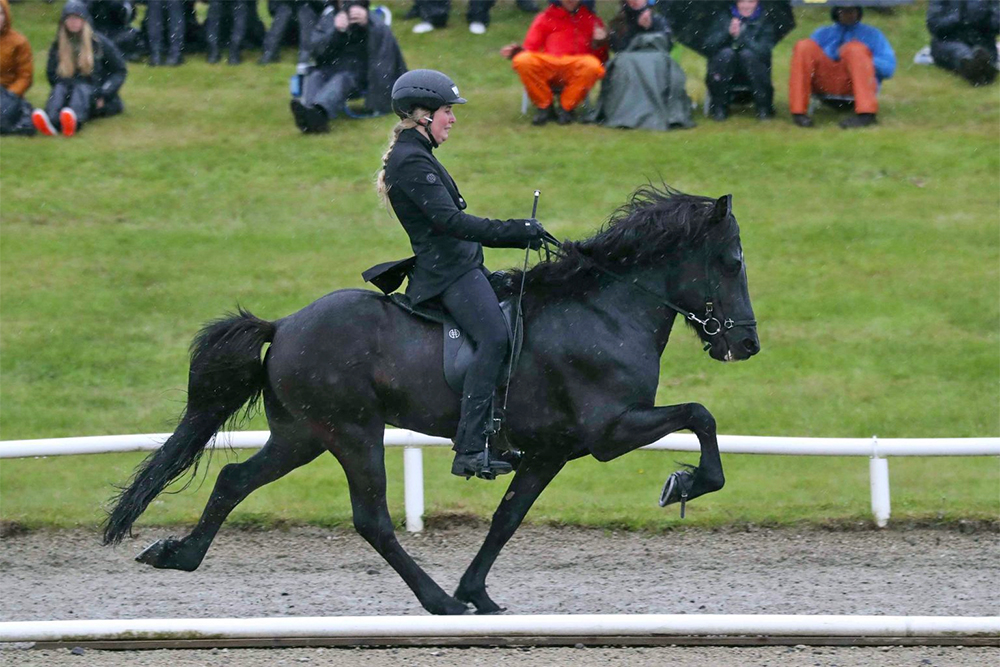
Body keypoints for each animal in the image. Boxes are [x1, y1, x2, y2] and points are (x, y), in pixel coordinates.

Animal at [103, 185, 756, 620]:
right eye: (731, 262)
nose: (746, 344)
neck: (603, 309)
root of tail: (285, 325)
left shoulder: (552, 451)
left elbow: (507, 519)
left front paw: (478, 593)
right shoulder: (610, 431)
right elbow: (700, 415)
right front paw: (685, 483)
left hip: (302, 435)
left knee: (235, 480)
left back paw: (179, 556)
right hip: (353, 433)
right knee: (371, 519)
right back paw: (437, 600)